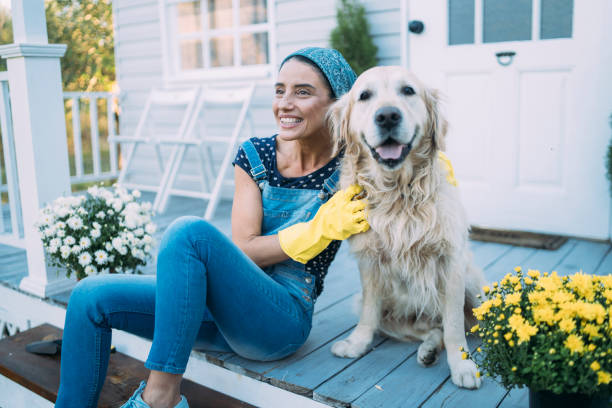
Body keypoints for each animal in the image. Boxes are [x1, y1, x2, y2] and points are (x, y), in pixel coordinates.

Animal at [328, 66, 486, 388]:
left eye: (408, 91)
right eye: (364, 96)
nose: (388, 116)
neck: (398, 193)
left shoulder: (452, 261)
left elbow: (454, 325)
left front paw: (462, 365)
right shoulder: (369, 261)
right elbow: (369, 313)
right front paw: (356, 343)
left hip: (473, 281)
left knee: (459, 324)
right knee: (432, 330)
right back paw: (427, 350)